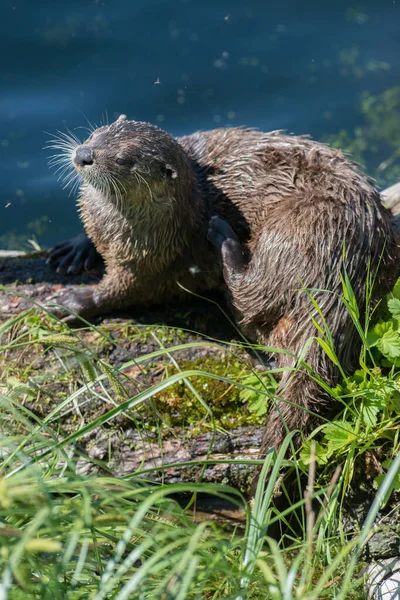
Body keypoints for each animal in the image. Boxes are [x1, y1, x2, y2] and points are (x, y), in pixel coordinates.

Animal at [45, 116, 398, 454]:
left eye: (121, 160)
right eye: (96, 134)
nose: (83, 154)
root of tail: (346, 271)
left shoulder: (152, 258)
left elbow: (126, 291)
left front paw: (73, 302)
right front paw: (78, 247)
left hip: (296, 234)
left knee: (250, 296)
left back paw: (225, 240)